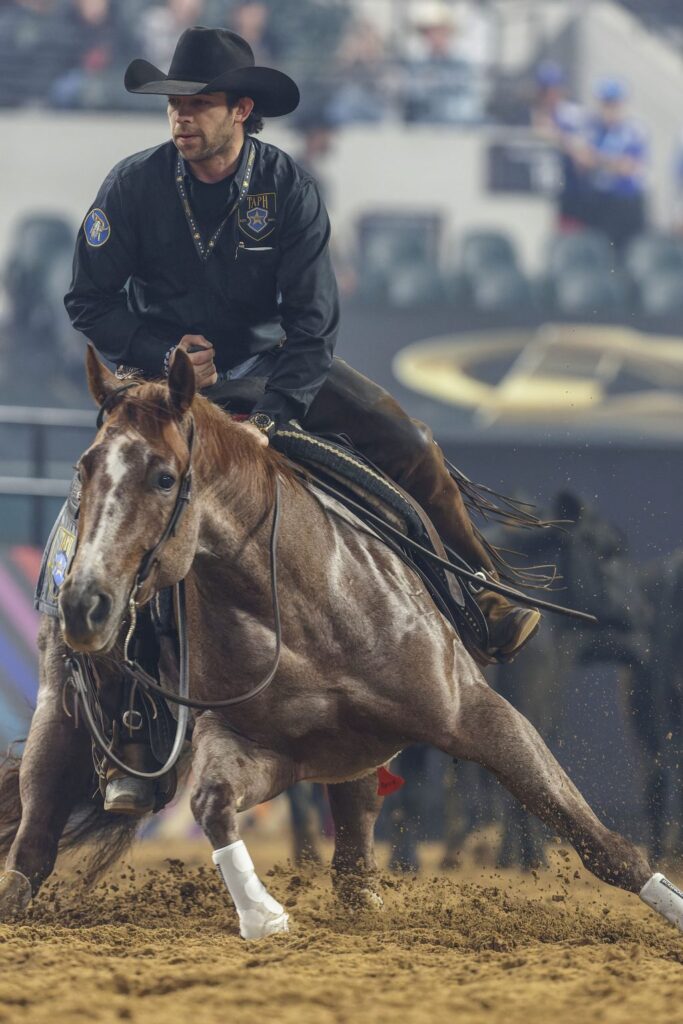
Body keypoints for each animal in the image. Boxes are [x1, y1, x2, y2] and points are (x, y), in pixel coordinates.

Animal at [1, 350, 683, 942]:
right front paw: (263, 915)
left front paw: (668, 903)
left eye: (165, 477)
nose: (85, 601)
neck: (307, 600)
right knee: (36, 827)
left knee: (358, 830)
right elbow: (212, 804)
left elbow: (593, 835)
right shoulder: (259, 747)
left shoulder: (476, 711)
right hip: (62, 704)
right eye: (85, 469)